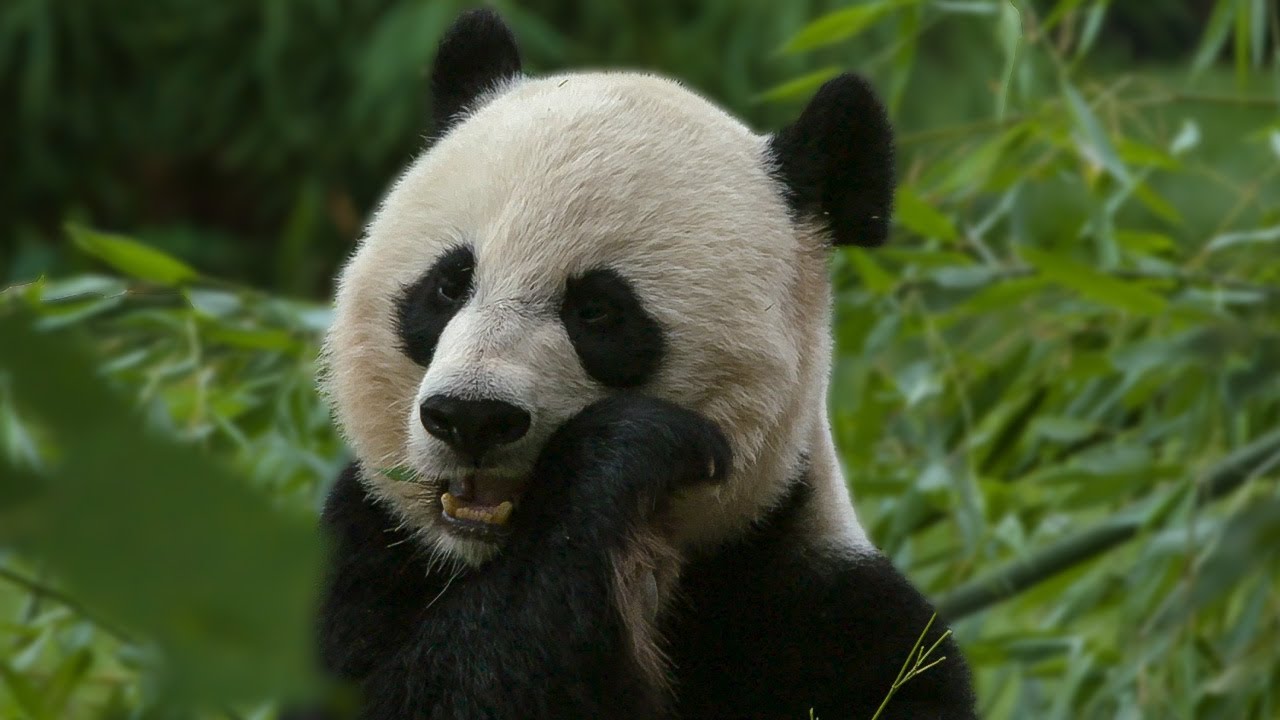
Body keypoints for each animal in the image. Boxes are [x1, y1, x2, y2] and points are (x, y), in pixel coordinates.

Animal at [313, 8, 977, 720]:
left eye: (598, 311)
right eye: (449, 284)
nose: (472, 417)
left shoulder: (826, 608)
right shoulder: (364, 558)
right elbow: (437, 684)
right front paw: (629, 445)